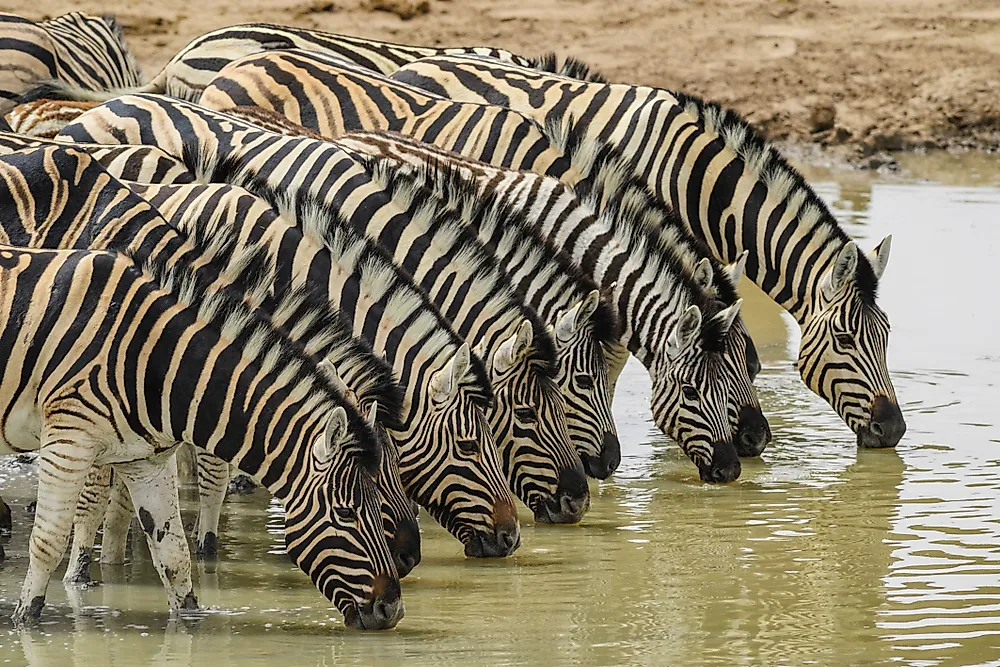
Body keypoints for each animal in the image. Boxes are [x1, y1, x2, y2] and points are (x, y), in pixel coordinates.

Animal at [0, 143, 422, 577]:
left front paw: (120, 562)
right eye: (376, 477)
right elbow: (104, 494)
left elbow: (132, 501)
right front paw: (85, 574)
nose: (411, 556)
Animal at [0, 240, 401, 628]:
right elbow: (49, 541)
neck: (154, 358)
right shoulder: (69, 438)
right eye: (346, 512)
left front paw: (191, 622)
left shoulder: (145, 459)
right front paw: (24, 622)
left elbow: (174, 554)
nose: (392, 610)